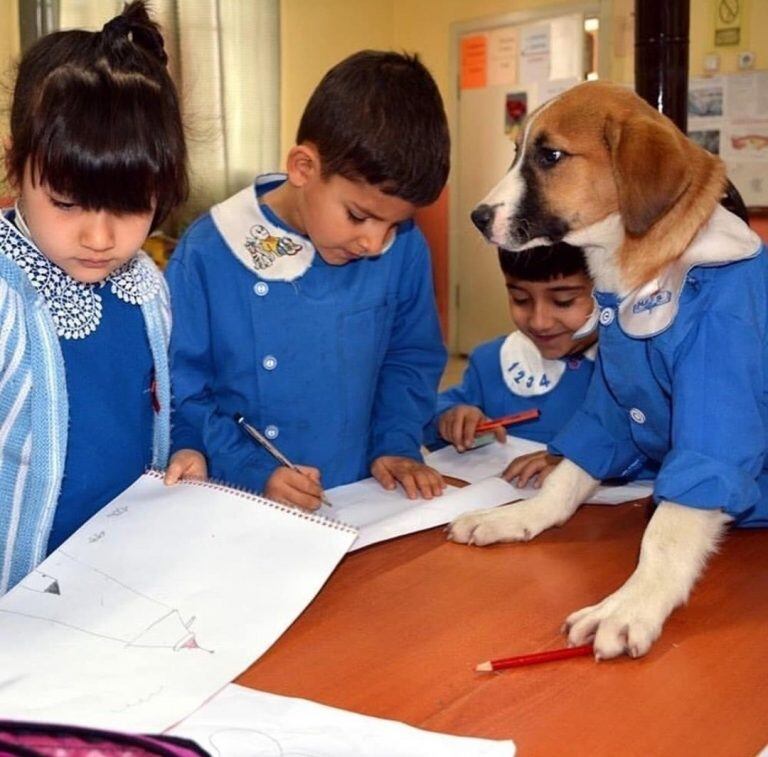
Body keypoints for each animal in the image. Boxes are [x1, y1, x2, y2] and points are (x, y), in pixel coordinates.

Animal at [448, 81, 764, 656]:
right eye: (516, 152)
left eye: (550, 156)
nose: (477, 217)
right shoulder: (613, 406)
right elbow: (567, 476)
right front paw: (518, 516)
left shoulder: (719, 412)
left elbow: (669, 529)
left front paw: (633, 604)